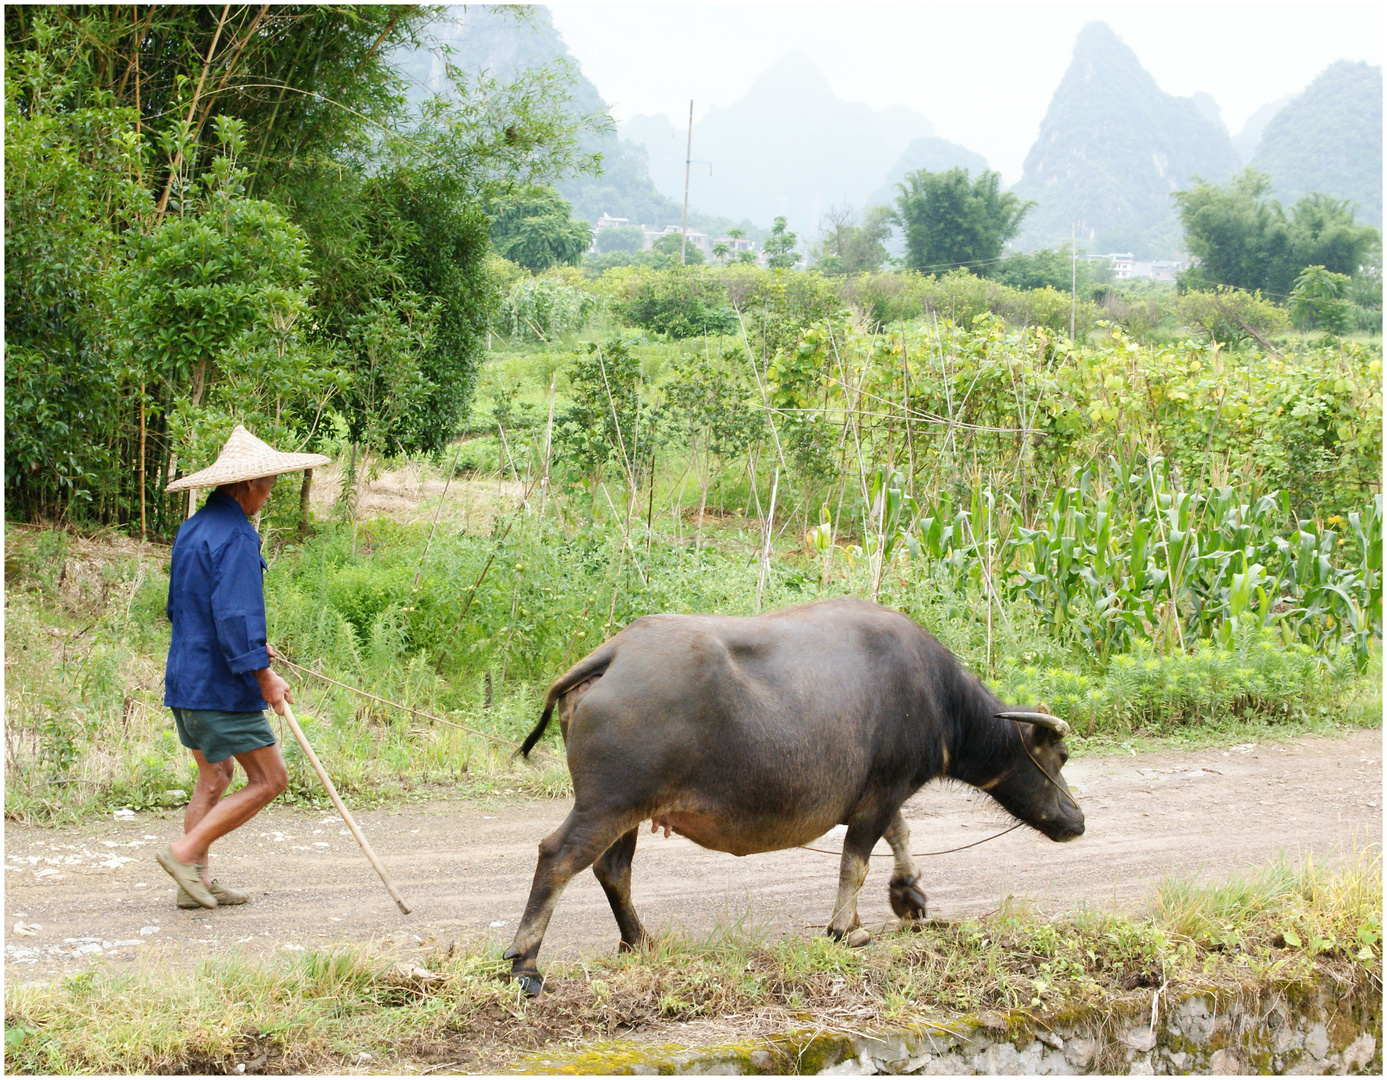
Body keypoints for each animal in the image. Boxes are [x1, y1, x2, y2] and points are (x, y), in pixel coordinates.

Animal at [502, 596, 1081, 992]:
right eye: (1061, 755)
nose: (1076, 821)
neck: (937, 697)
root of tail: (614, 654)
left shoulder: (878, 794)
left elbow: (900, 834)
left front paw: (909, 895)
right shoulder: (881, 793)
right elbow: (857, 862)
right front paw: (848, 929)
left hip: (629, 809)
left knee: (612, 869)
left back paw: (639, 942)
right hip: (608, 802)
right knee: (558, 857)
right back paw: (525, 965)